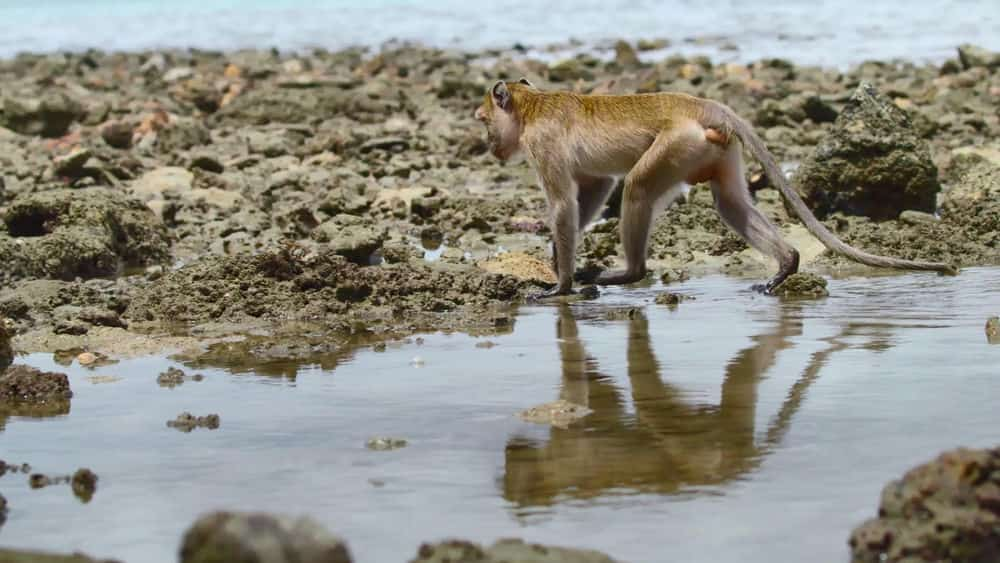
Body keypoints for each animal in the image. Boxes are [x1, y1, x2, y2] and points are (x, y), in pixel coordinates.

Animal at [472, 81, 956, 300]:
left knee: (638, 190)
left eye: (483, 120)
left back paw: (629, 273)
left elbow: (563, 203)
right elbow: (592, 188)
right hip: (713, 150)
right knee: (730, 203)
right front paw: (556, 259)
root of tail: (703, 106)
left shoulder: (543, 144)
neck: (533, 107)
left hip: (676, 145)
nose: (489, 145)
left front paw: (561, 284)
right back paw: (786, 264)